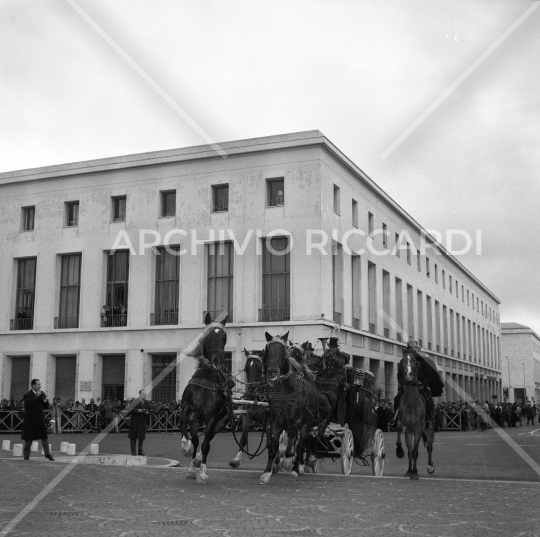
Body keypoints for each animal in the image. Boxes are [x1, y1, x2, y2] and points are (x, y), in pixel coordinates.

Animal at [180, 312, 229, 484]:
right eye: (207, 336)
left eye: (224, 337)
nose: (218, 360)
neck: (207, 380)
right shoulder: (189, 412)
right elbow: (190, 436)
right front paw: (187, 450)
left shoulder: (213, 418)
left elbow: (206, 444)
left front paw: (201, 472)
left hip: (220, 423)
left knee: (208, 439)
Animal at [258, 328, 330, 484]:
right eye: (268, 349)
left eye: (282, 349)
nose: (272, 371)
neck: (286, 390)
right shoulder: (275, 422)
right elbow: (273, 446)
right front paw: (267, 472)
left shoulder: (295, 422)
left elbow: (293, 448)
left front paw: (288, 463)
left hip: (308, 424)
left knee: (302, 444)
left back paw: (297, 468)